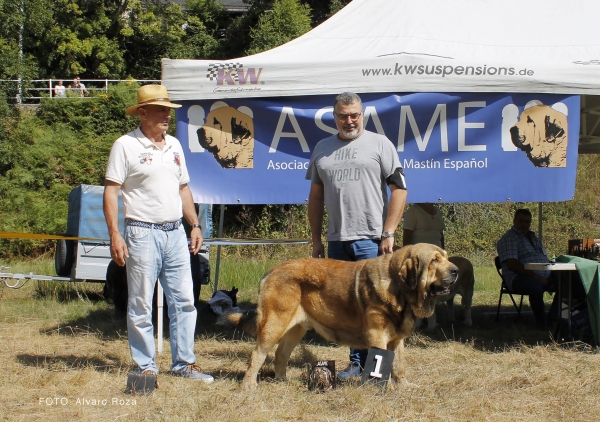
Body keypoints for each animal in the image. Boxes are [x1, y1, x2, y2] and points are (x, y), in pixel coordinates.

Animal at [220, 244, 460, 390]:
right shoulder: (378, 336)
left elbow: (398, 365)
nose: (456, 270)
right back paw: (249, 385)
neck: (399, 288)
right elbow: (380, 365)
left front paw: (404, 386)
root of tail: (270, 271)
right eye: (434, 261)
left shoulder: (396, 339)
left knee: (281, 354)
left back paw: (283, 380)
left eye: (446, 258)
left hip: (296, 329)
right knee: (257, 354)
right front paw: (385, 388)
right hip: (274, 324)